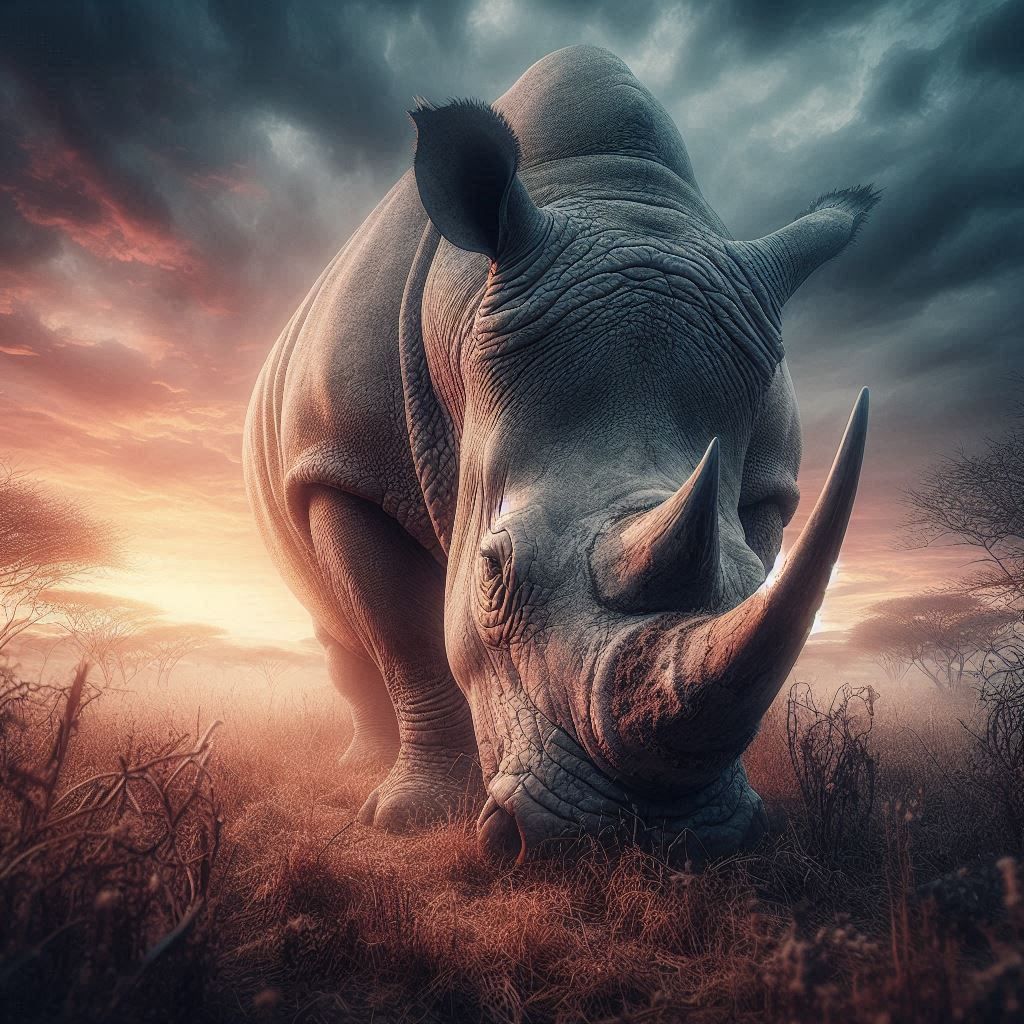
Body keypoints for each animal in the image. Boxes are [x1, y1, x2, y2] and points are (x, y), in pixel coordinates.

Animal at [244, 45, 876, 862]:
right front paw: (411, 817)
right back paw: (360, 768)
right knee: (342, 632)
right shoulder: (340, 463)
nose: (640, 836)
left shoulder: (767, 487)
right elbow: (407, 638)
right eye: (492, 569)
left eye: (752, 579)